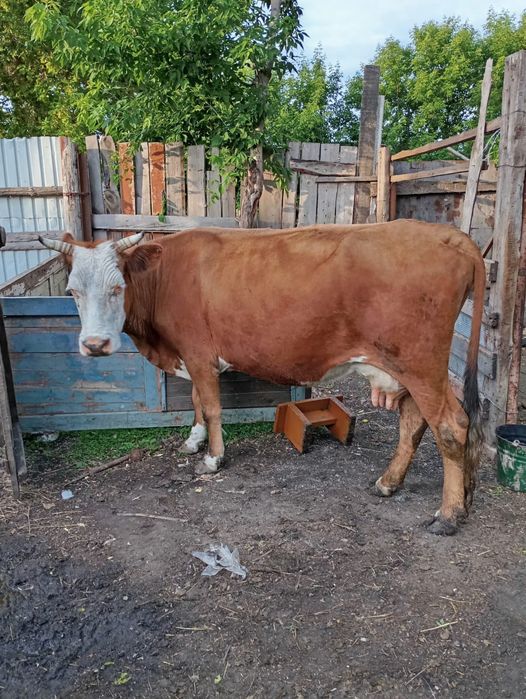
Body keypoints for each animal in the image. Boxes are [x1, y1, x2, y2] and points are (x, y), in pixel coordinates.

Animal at [39, 220, 485, 535]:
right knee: (415, 422)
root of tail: (449, 235)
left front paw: (212, 458)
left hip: (421, 363)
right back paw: (392, 483)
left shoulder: (199, 353)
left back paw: (448, 514)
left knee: (450, 425)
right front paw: (193, 441)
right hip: (407, 370)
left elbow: (212, 406)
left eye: (118, 287)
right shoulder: (191, 357)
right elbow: (197, 402)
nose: (95, 344)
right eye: (73, 291)